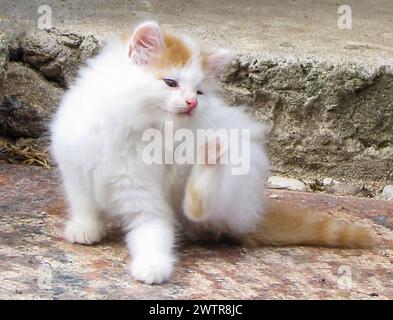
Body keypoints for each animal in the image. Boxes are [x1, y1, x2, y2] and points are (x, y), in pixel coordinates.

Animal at [50, 20, 376, 284]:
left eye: (200, 91)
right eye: (171, 82)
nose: (192, 103)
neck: (134, 126)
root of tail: (254, 212)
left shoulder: (145, 196)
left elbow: (153, 230)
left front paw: (153, 266)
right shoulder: (75, 168)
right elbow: (83, 202)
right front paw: (85, 228)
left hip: (237, 173)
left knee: (200, 206)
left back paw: (211, 156)